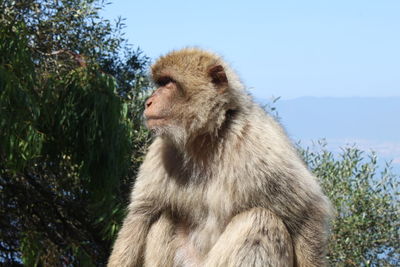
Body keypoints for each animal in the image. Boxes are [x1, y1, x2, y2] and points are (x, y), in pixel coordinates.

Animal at [108, 48, 332, 267]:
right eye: (160, 83)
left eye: (168, 83)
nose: (148, 102)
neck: (206, 140)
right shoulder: (161, 151)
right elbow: (140, 217)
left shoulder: (259, 144)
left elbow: (306, 213)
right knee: (166, 216)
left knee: (260, 219)